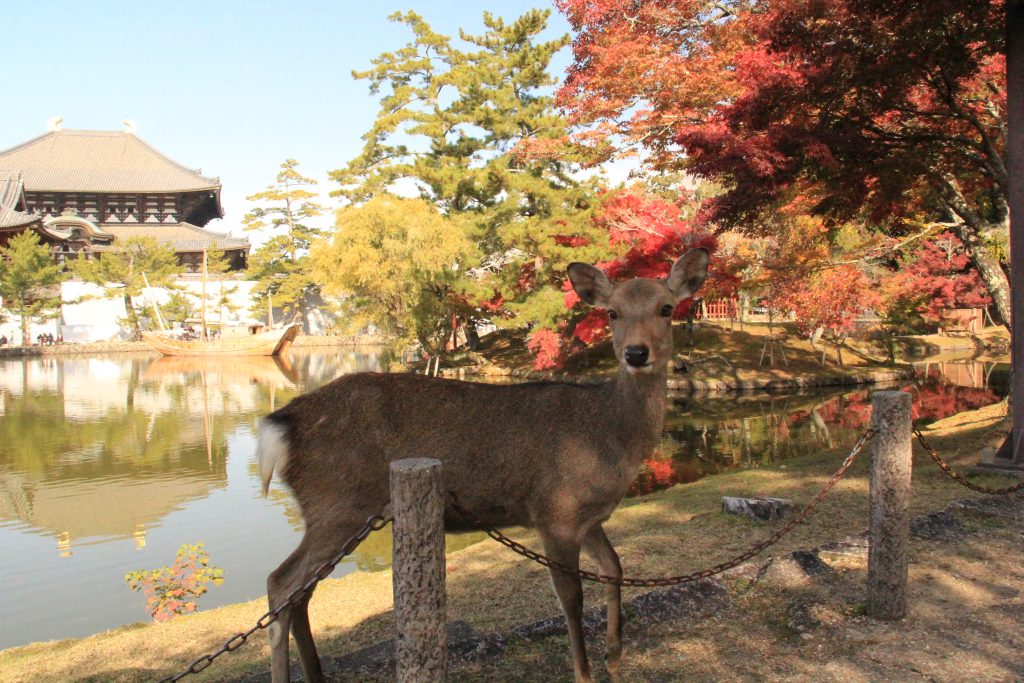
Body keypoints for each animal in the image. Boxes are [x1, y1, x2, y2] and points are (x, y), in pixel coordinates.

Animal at [256, 248, 708, 679]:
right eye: (612, 312)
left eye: (666, 308)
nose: (636, 353)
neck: (610, 438)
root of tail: (281, 425)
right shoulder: (555, 512)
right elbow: (572, 600)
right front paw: (586, 672)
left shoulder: (590, 517)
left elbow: (615, 568)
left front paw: (615, 658)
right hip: (338, 504)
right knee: (280, 584)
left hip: (339, 513)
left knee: (300, 594)